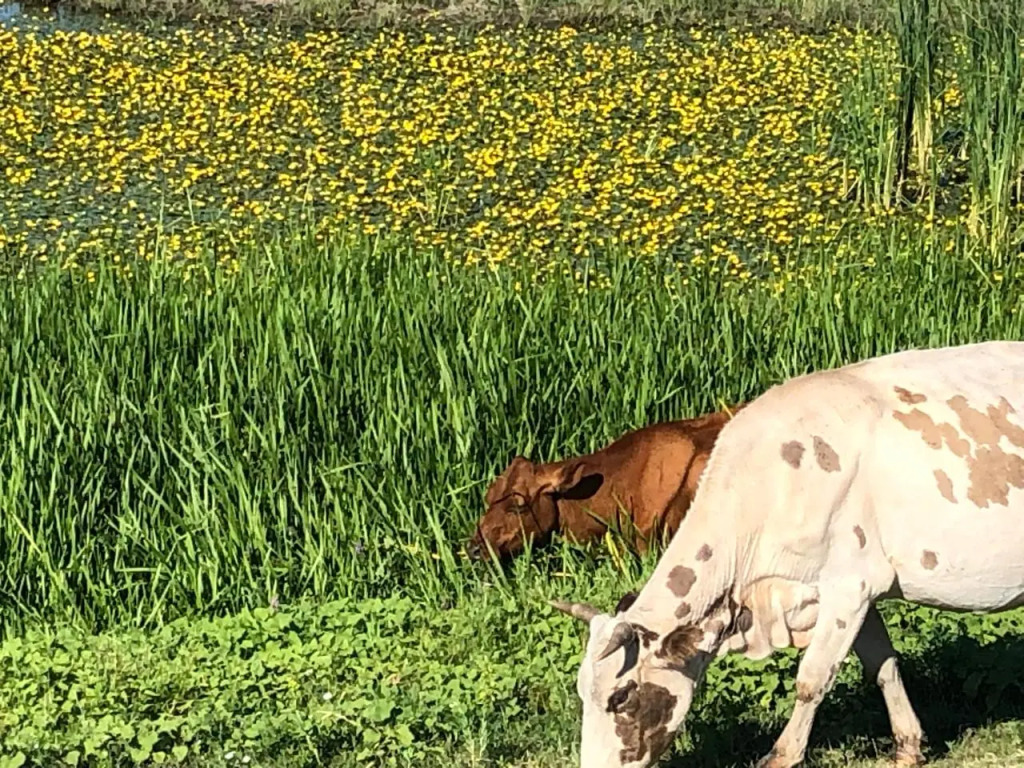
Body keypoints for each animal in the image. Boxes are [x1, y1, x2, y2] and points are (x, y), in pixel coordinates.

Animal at [552, 342, 1024, 768]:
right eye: (579, 690)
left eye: (620, 696)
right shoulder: (854, 591)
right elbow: (883, 666)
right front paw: (908, 747)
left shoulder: (851, 587)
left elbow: (811, 679)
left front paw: (782, 755)